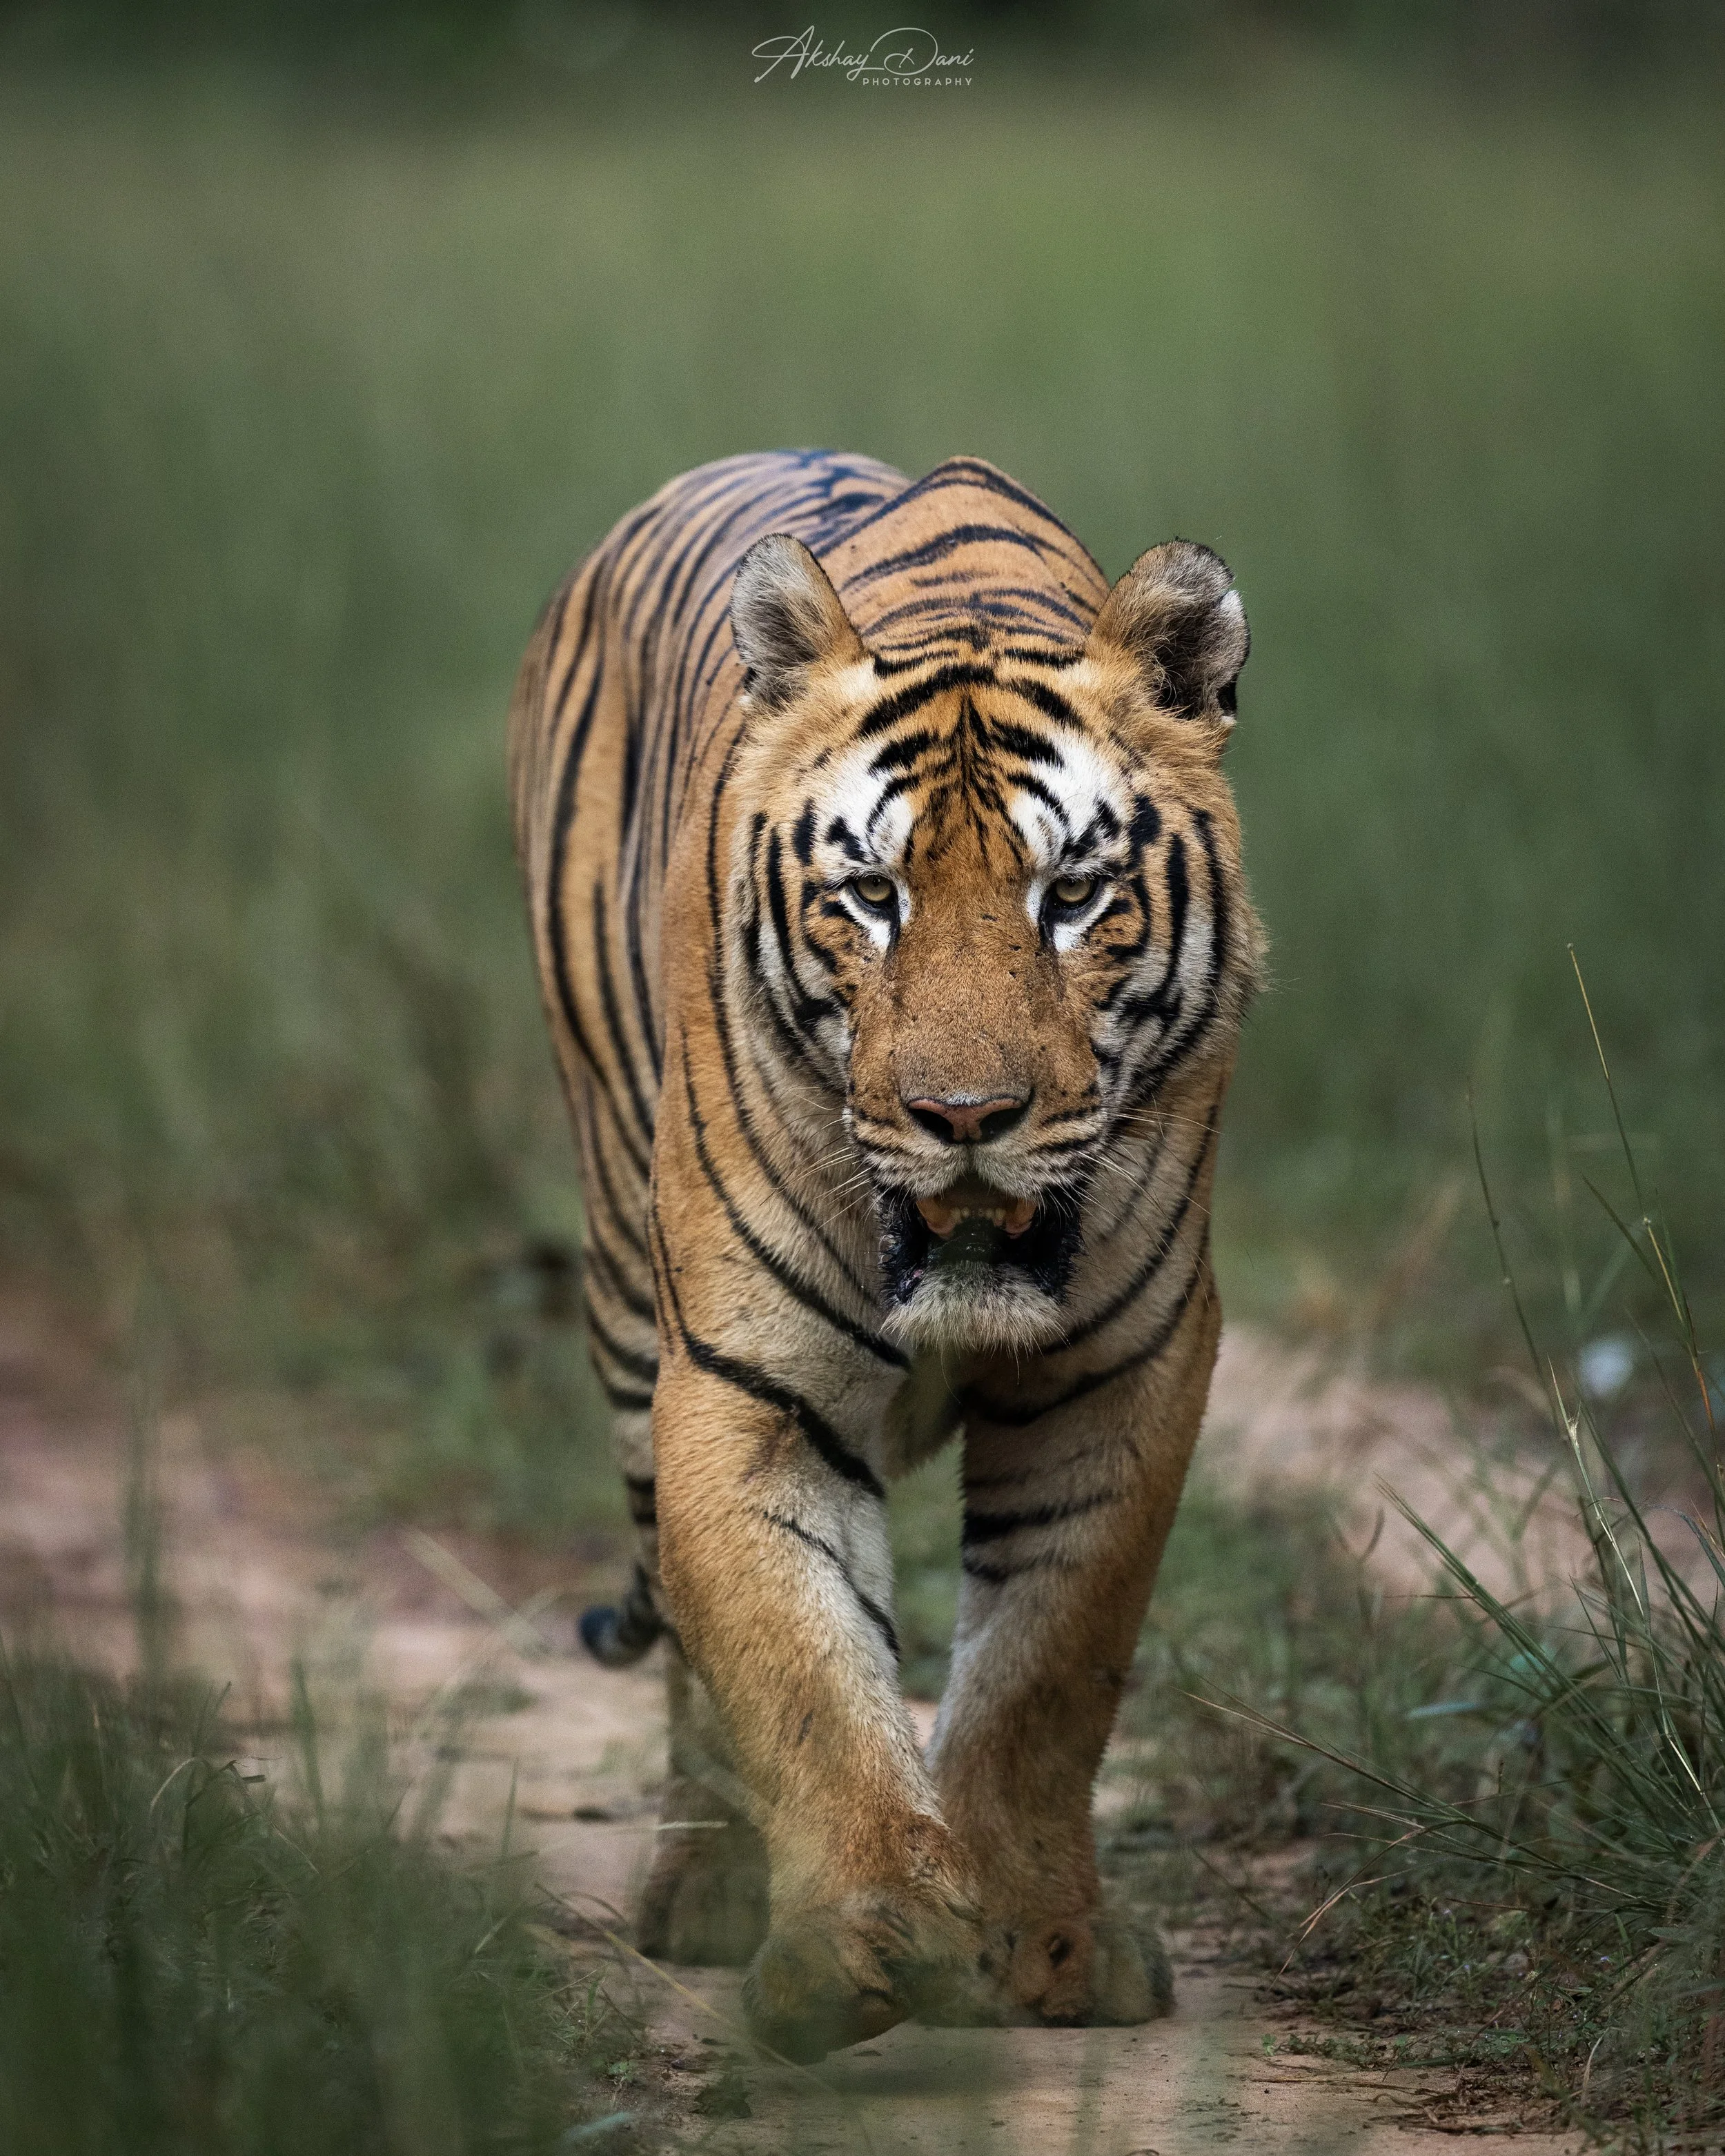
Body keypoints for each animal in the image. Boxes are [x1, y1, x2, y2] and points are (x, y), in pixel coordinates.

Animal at [508, 450, 1263, 2062]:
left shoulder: (1122, 1376)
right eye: (871, 896)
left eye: (1070, 896)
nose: (964, 1117)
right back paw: (706, 1888)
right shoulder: (745, 1383)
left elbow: (1045, 1671)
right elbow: (797, 1666)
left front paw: (1044, 1938)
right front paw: (869, 1940)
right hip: (623, 1290)